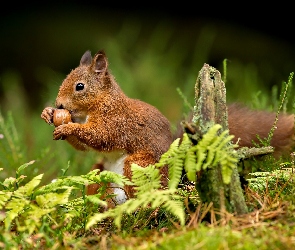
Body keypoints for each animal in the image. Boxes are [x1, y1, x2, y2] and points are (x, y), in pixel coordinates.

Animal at [41, 50, 295, 205]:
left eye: (79, 86)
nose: (59, 104)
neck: (102, 103)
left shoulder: (117, 121)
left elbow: (99, 136)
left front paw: (67, 127)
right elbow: (85, 146)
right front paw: (48, 114)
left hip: (138, 165)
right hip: (98, 173)